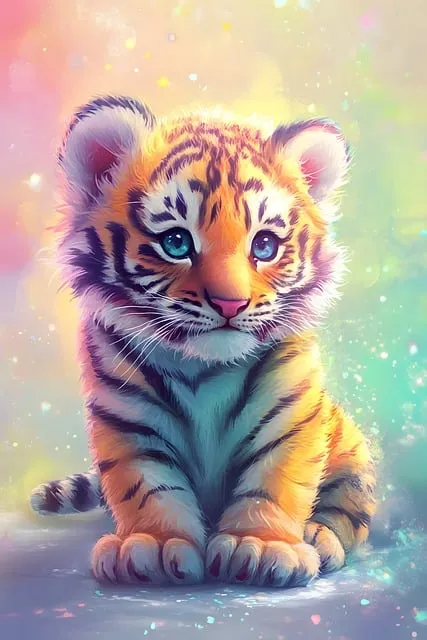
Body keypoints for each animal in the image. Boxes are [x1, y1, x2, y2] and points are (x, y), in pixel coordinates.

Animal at [30, 95, 376, 588]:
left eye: (265, 245)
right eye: (176, 242)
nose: (231, 303)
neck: (203, 369)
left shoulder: (290, 414)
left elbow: (275, 481)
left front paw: (261, 546)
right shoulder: (130, 420)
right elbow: (148, 486)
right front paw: (152, 546)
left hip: (352, 455)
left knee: (347, 511)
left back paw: (318, 538)